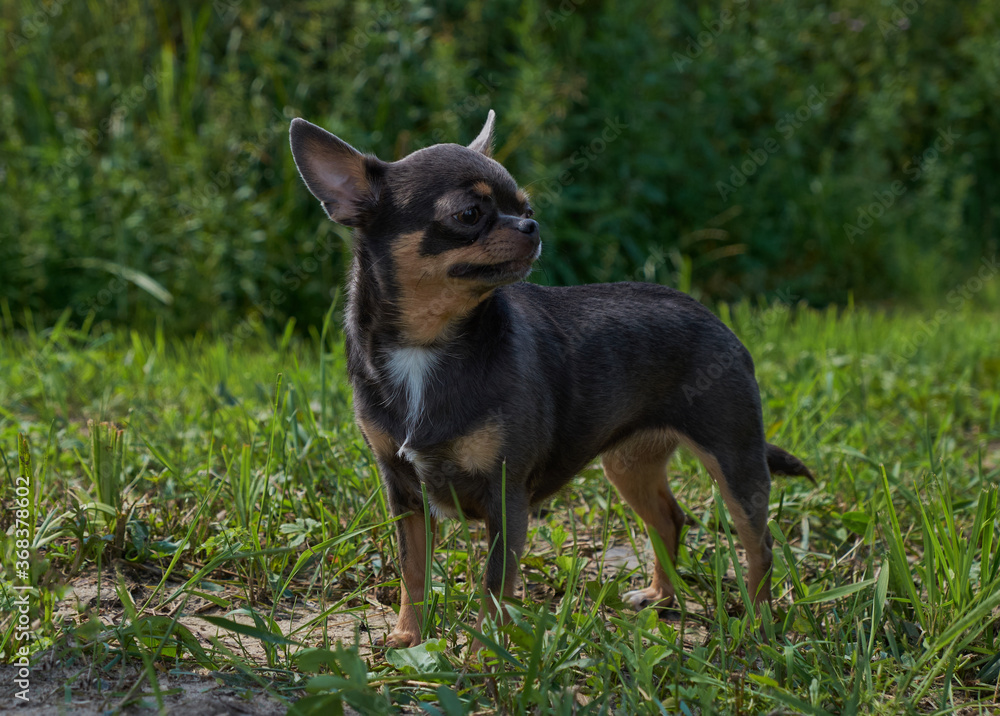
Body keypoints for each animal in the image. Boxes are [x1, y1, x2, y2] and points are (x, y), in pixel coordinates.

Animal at [288, 110, 812, 648]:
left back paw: (758, 623)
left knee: (760, 546)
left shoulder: (506, 499)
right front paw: (408, 637)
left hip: (735, 462)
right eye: (469, 214)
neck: (426, 346)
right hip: (629, 464)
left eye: (527, 206)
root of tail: (716, 320)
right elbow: (413, 570)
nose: (532, 225)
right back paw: (660, 598)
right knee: (670, 519)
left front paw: (483, 654)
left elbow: (494, 588)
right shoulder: (404, 494)